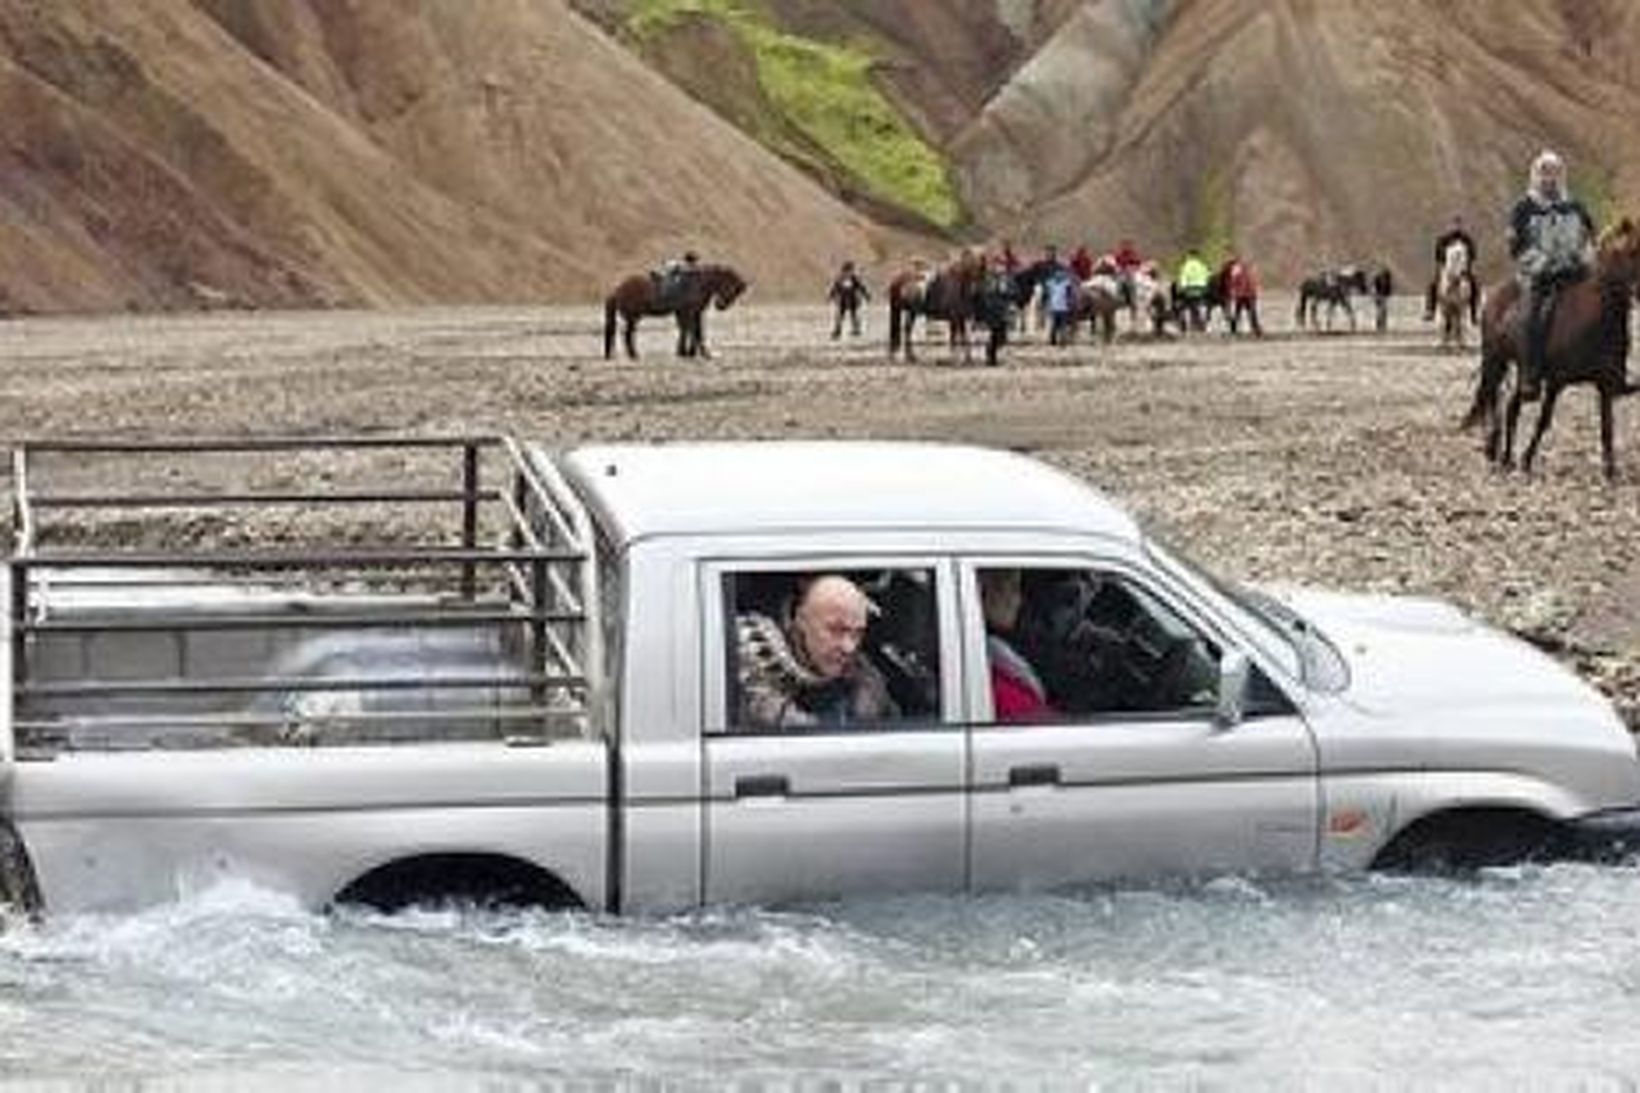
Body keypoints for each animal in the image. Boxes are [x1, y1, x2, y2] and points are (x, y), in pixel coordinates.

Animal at [606, 264, 751, 359]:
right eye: (732, 288)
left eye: (737, 292)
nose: (721, 306)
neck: (698, 284)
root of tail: (617, 290)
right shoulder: (689, 311)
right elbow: (692, 331)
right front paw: (695, 353)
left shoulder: (692, 313)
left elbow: (691, 330)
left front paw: (688, 352)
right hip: (633, 317)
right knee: (628, 334)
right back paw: (634, 355)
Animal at [1462, 214, 1640, 479]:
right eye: (1631, 252)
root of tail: (1495, 296)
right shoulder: (1557, 381)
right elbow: (1544, 420)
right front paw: (1526, 460)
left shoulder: (1606, 383)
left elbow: (1607, 426)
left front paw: (1610, 470)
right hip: (1497, 361)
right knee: (1495, 399)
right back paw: (1497, 453)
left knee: (1511, 406)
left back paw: (1504, 456)